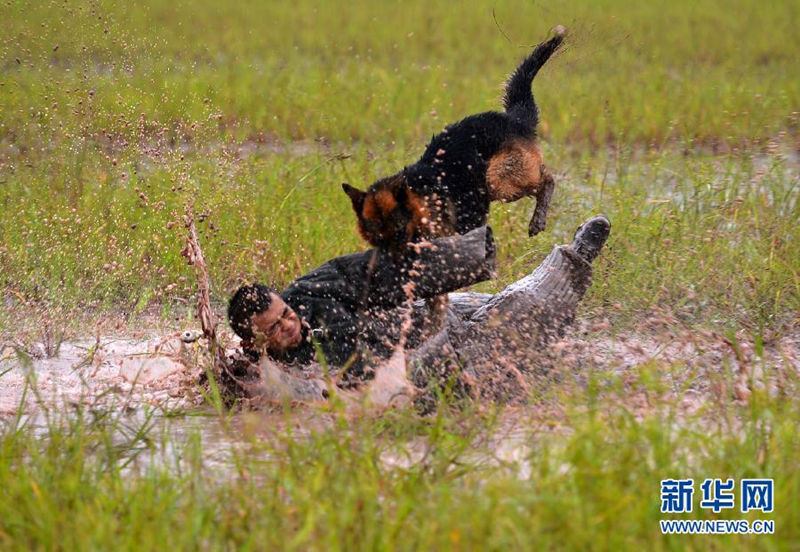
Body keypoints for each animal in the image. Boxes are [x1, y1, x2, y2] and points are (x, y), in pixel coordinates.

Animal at [342, 29, 564, 256]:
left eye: (398, 229)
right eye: (376, 234)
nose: (392, 258)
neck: (418, 198)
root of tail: (515, 119)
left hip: (498, 178)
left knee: (547, 178)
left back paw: (538, 218)